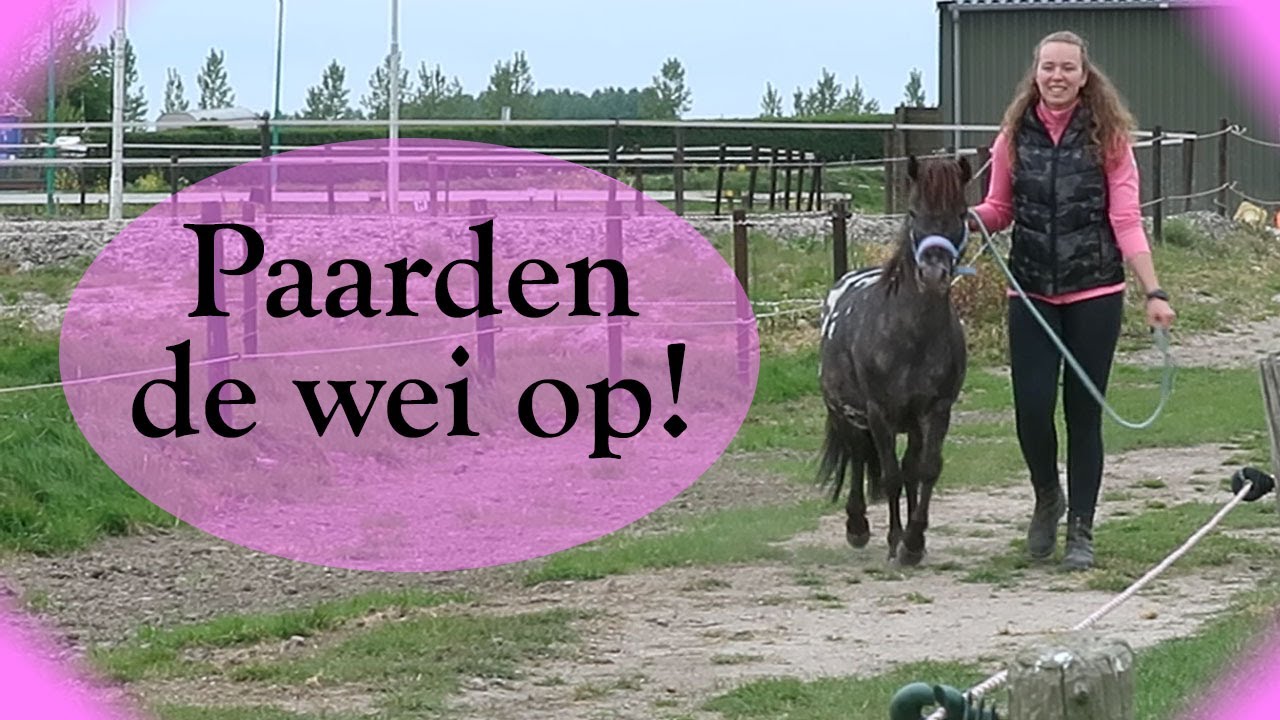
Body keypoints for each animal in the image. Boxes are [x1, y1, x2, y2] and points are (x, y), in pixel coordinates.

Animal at [817, 154, 970, 566]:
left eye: (961, 212)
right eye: (914, 212)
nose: (933, 273)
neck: (911, 337)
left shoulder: (936, 410)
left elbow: (924, 470)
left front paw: (914, 542)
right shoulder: (878, 412)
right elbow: (889, 476)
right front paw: (895, 540)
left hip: (909, 422)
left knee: (908, 465)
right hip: (847, 413)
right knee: (857, 456)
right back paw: (857, 527)